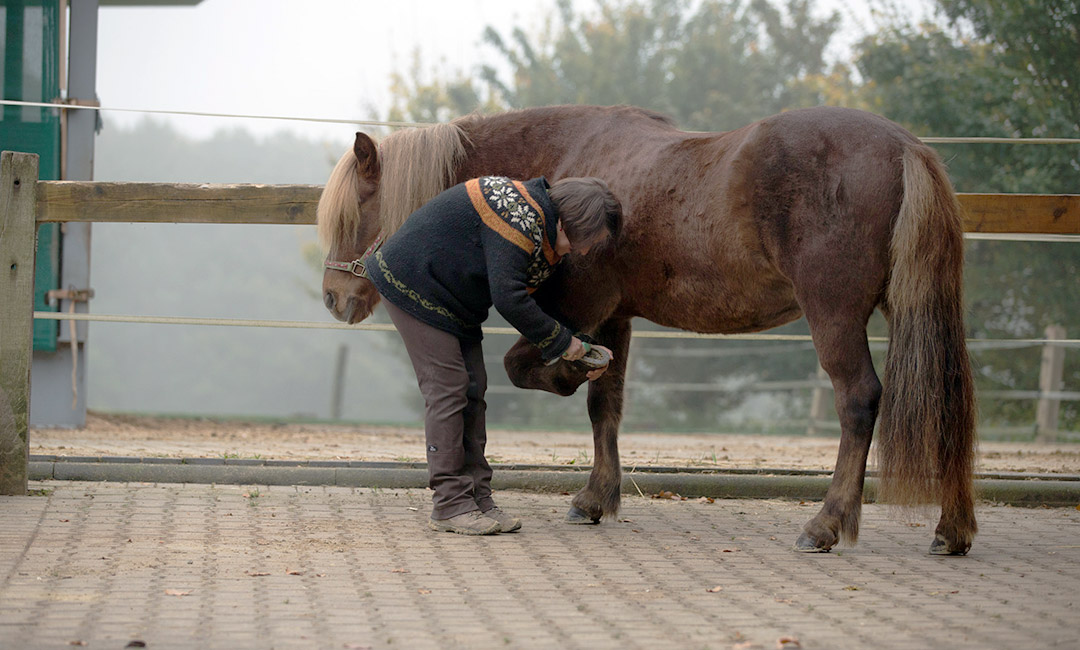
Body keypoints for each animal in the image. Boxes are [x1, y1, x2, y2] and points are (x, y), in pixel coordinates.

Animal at [315, 105, 976, 550]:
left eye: (355, 213)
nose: (333, 298)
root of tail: (904, 148)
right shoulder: (616, 317)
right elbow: (605, 407)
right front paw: (596, 498)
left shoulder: (583, 309)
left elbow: (526, 366)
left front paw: (566, 375)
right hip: (921, 311)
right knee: (946, 405)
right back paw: (952, 529)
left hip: (834, 315)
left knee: (859, 402)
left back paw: (826, 524)